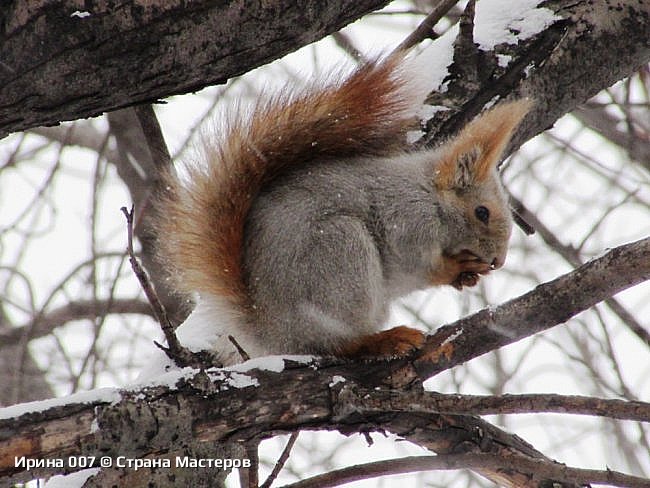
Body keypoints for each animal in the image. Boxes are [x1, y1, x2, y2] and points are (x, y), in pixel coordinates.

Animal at [154, 49, 528, 364]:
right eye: (482, 212)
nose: (499, 261)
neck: (429, 194)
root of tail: (271, 331)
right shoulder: (406, 218)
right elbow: (417, 263)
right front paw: (454, 268)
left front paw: (468, 276)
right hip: (341, 254)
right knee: (336, 344)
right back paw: (381, 340)